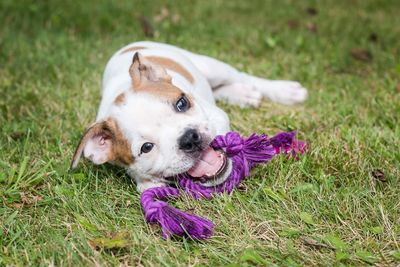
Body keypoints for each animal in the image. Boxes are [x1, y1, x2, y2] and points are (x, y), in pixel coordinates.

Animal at [70, 40, 308, 193]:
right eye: (146, 148)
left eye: (182, 103)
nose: (189, 138)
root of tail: (130, 45)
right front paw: (148, 183)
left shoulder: (215, 116)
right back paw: (243, 95)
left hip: (213, 67)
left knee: (243, 77)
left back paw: (285, 91)